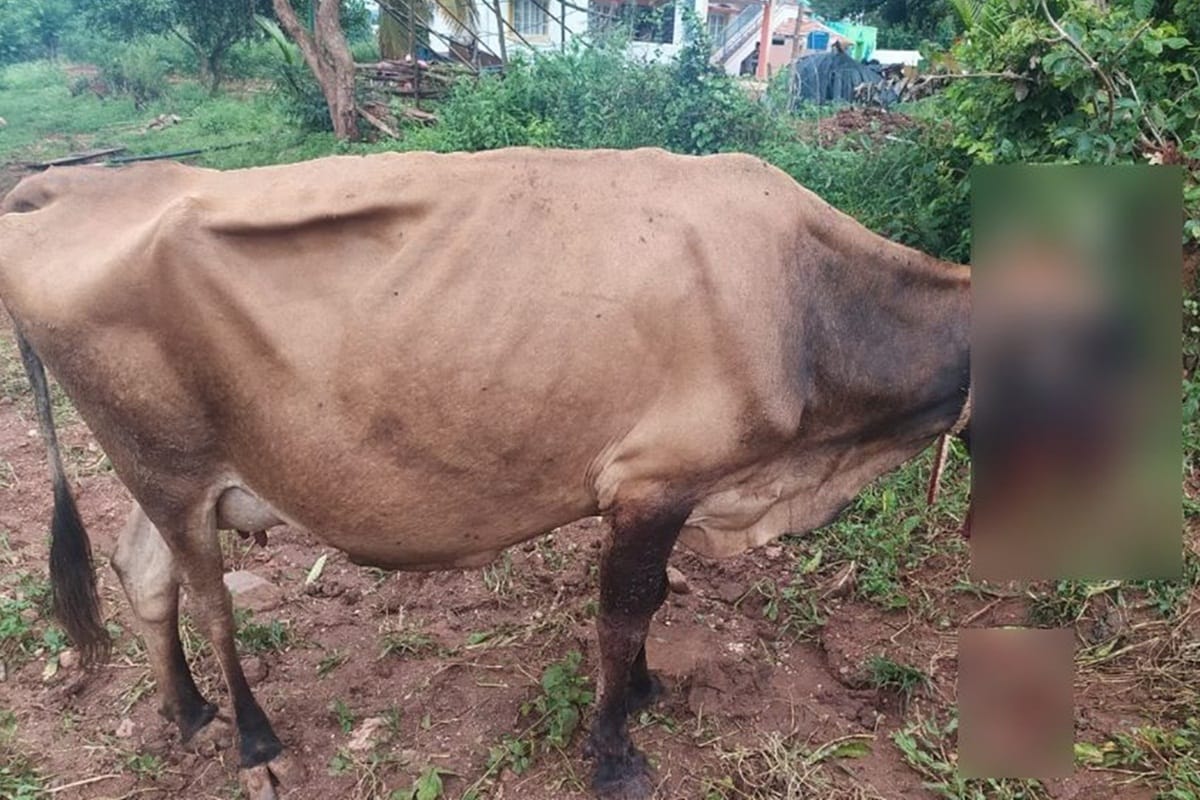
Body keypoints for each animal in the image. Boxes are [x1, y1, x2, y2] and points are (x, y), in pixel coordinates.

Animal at [0, 147, 970, 799]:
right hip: (167, 465)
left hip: (164, 470)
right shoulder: (651, 481)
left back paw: (190, 712)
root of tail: (69, 189)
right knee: (212, 604)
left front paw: (645, 692)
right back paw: (254, 744)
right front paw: (614, 753)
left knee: (144, 573)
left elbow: (648, 608)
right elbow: (624, 616)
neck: (811, 304)